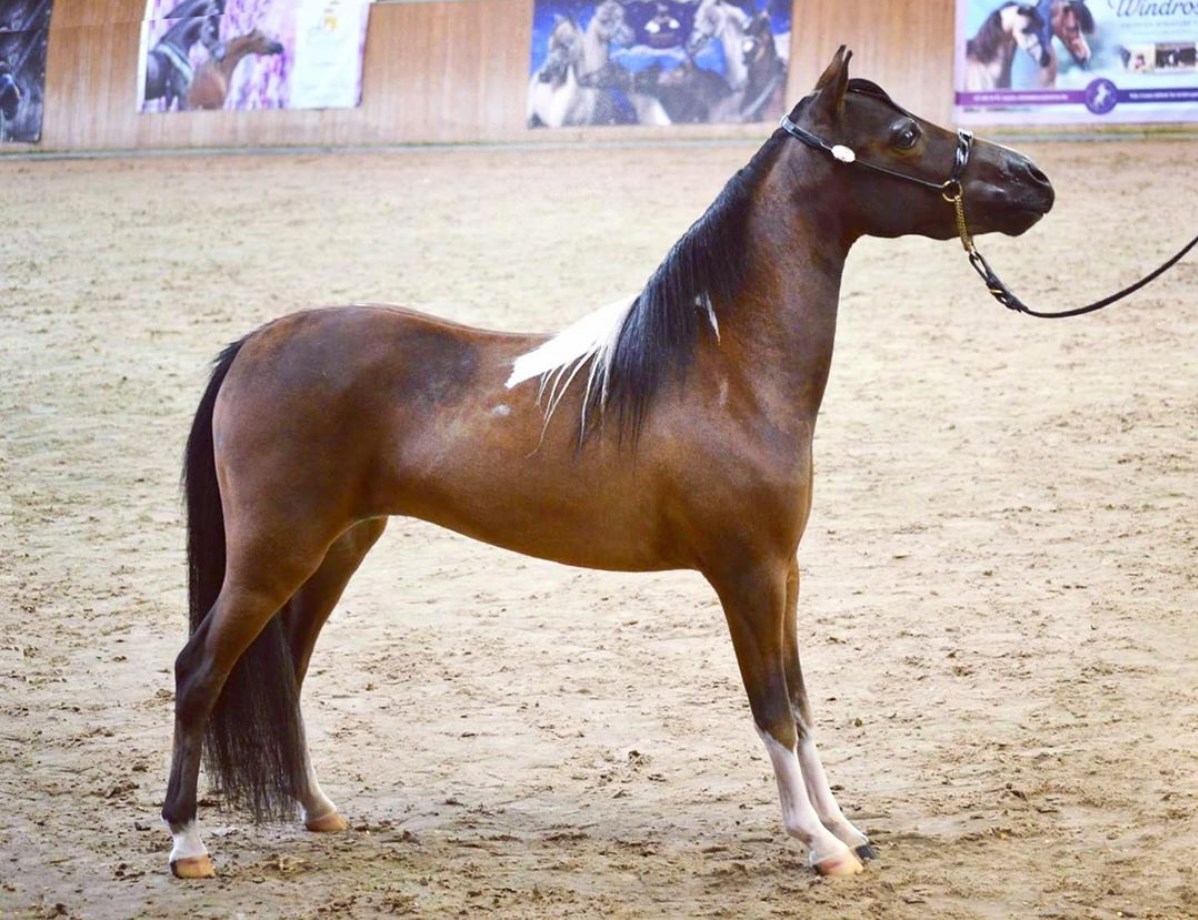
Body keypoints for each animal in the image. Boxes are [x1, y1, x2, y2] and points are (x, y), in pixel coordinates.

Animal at [162, 47, 1054, 881]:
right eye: (903, 134)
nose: (1033, 179)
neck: (725, 369)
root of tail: (255, 344)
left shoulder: (786, 574)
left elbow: (802, 705)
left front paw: (844, 827)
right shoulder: (748, 575)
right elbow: (771, 708)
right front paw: (817, 844)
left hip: (337, 547)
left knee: (286, 670)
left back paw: (317, 810)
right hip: (275, 554)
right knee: (200, 669)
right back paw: (187, 843)